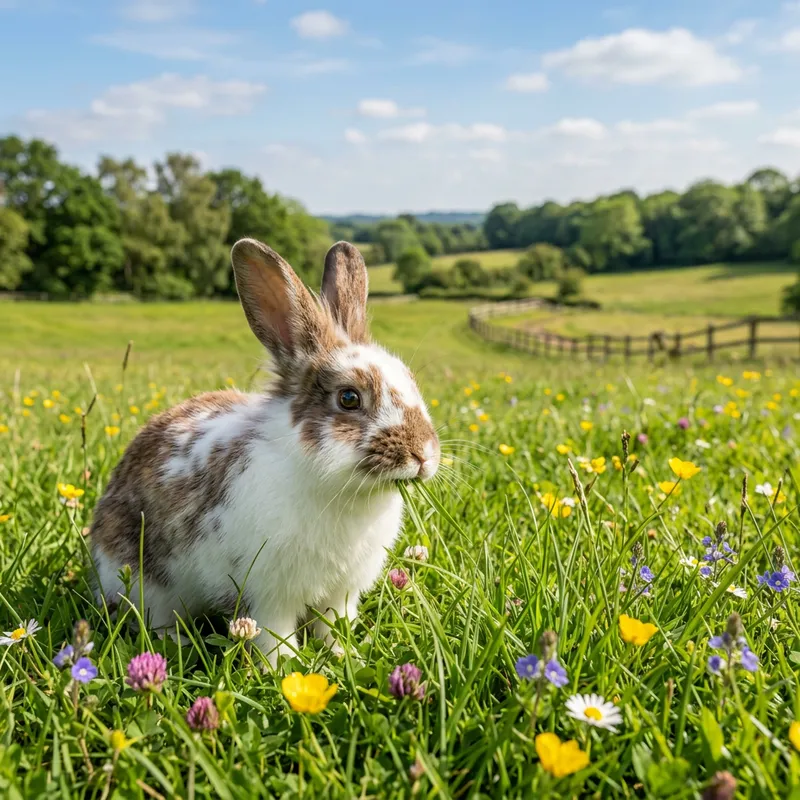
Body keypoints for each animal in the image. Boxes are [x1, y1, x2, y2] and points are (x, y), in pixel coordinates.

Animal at [90, 238, 440, 666]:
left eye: (410, 380)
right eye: (349, 398)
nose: (423, 455)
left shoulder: (340, 594)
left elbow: (333, 627)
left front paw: (345, 658)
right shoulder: (270, 596)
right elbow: (276, 637)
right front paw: (284, 669)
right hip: (146, 583)